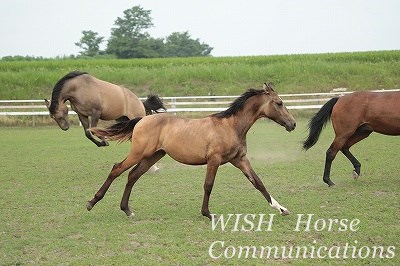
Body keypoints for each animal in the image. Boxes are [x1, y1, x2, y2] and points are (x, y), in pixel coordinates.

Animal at [86, 83, 296, 218]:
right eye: (279, 103)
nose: (292, 124)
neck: (231, 126)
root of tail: (142, 119)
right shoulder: (214, 160)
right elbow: (208, 185)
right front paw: (208, 214)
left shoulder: (240, 159)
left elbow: (258, 183)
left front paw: (281, 209)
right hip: (139, 153)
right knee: (117, 169)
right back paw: (91, 202)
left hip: (153, 155)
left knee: (132, 175)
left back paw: (127, 210)